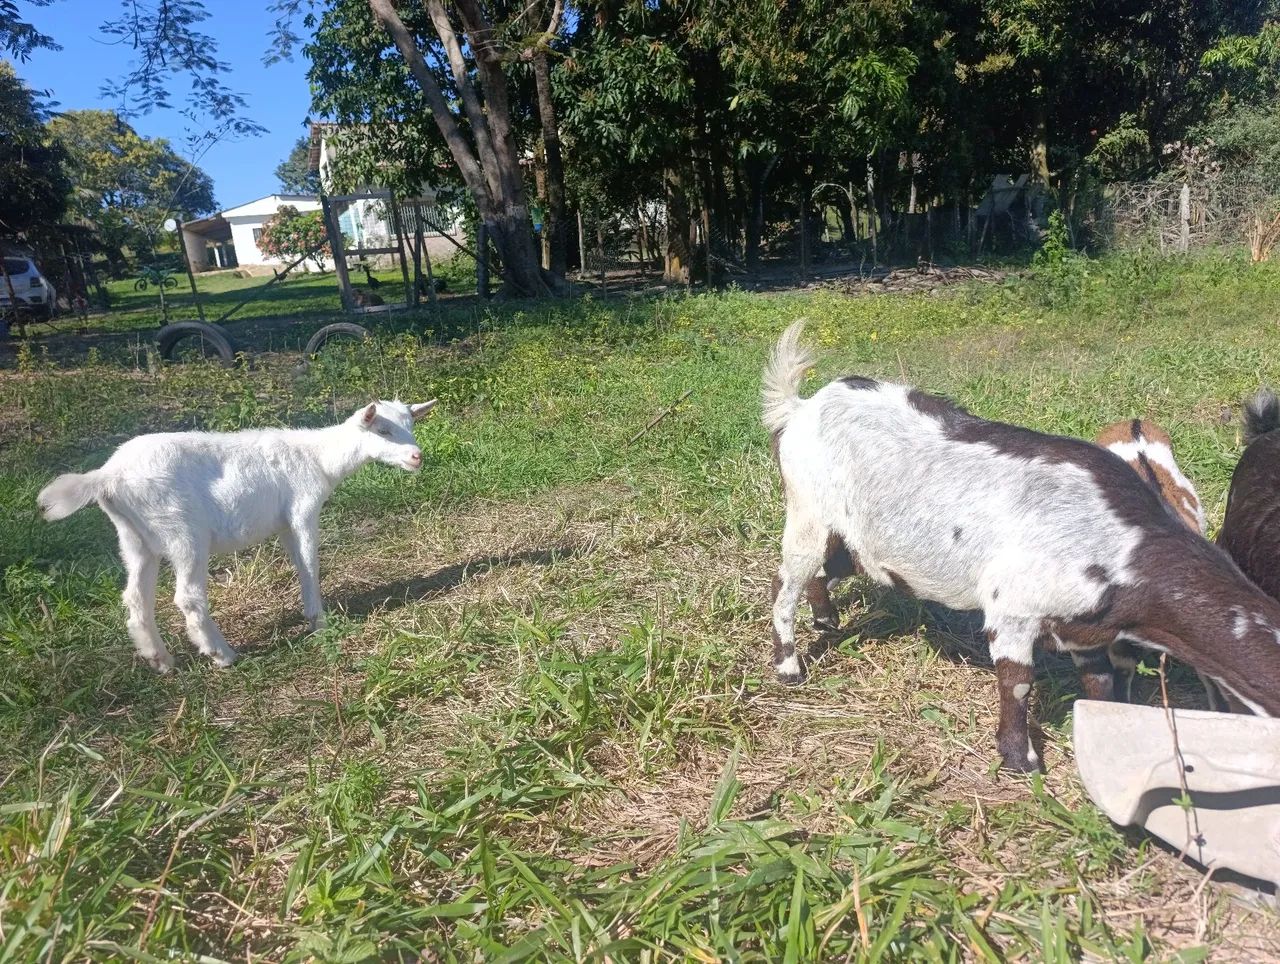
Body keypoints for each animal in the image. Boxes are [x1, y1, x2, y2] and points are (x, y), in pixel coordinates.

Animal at [37, 399, 436, 672]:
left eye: (410, 423)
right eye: (383, 431)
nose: (417, 456)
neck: (318, 457)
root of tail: (106, 477)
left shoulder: (284, 523)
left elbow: (299, 562)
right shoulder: (302, 510)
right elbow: (310, 563)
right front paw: (320, 623)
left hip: (135, 538)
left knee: (136, 597)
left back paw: (160, 659)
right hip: (182, 532)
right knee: (188, 596)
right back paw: (222, 654)